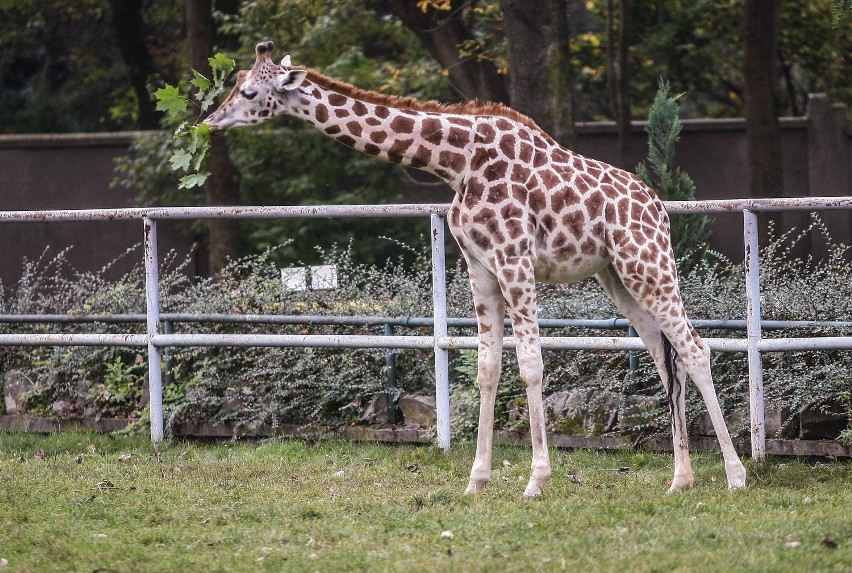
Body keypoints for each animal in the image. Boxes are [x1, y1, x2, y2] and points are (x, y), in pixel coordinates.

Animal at [205, 41, 744, 496]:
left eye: (248, 90)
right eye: (235, 82)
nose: (210, 120)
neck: (456, 163)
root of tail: (659, 208)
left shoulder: (514, 260)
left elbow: (531, 365)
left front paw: (536, 480)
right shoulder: (480, 267)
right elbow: (487, 368)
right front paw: (476, 480)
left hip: (648, 262)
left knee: (695, 349)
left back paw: (736, 475)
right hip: (619, 277)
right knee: (665, 356)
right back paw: (680, 480)